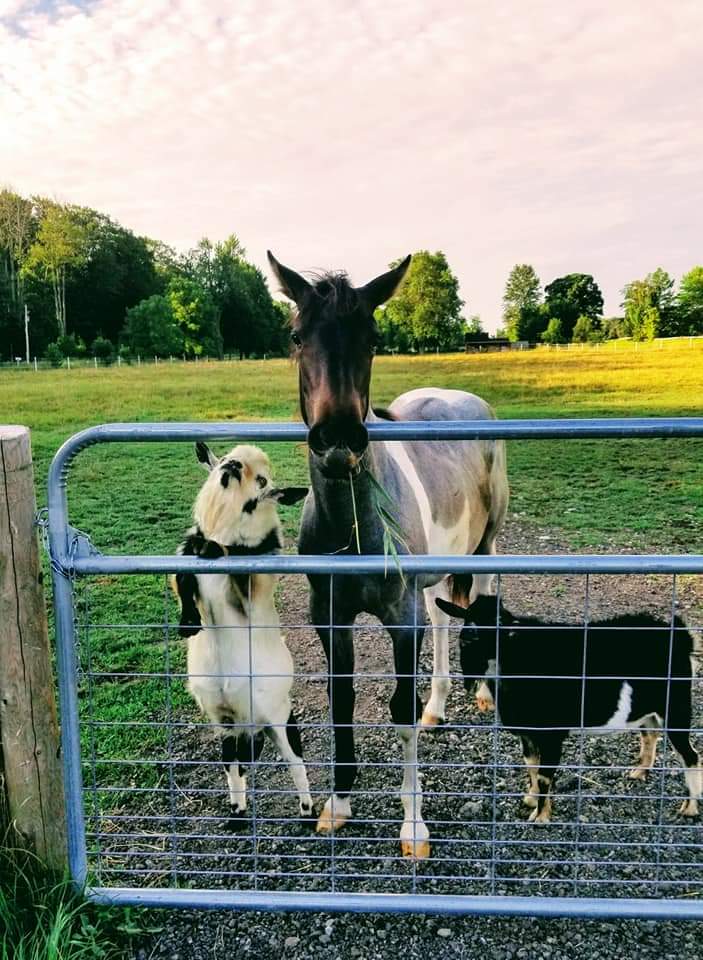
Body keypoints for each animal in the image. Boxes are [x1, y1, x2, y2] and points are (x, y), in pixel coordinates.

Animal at [174, 442, 311, 829]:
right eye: (223, 459)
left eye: (262, 480)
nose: (233, 466)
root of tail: (251, 725)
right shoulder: (185, 557)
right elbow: (183, 578)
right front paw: (188, 624)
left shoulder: (254, 582)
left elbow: (238, 567)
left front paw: (215, 550)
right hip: (228, 726)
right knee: (236, 765)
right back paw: (237, 812)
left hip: (280, 718)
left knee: (296, 762)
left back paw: (309, 813)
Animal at [268, 251, 509, 858]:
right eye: (297, 336)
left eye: (373, 338)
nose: (337, 439)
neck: (353, 528)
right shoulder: (330, 617)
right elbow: (343, 703)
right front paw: (337, 804)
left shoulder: (401, 618)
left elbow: (398, 711)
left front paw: (413, 824)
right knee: (447, 616)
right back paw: (438, 706)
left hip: (486, 544)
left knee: (483, 599)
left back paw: (483, 693)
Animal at [437, 592, 701, 824]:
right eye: (467, 624)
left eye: (500, 622)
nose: (469, 638)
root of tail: (682, 637)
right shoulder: (527, 732)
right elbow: (531, 765)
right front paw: (532, 799)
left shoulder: (552, 733)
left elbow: (545, 774)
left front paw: (541, 817)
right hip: (647, 708)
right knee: (650, 734)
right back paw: (640, 773)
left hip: (676, 705)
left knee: (689, 755)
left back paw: (689, 808)